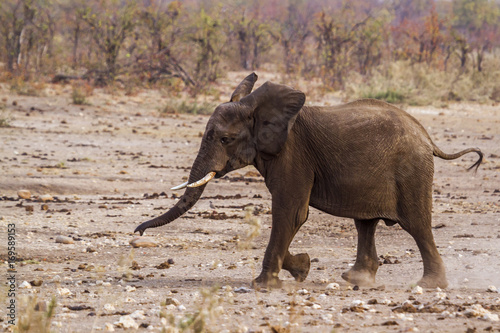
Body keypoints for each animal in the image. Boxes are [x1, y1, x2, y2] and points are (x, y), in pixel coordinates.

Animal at [135, 72, 482, 288]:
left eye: (224, 139)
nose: (137, 231)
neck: (257, 108)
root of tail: (427, 136)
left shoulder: (293, 155)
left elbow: (291, 213)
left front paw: (264, 285)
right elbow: (292, 216)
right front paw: (302, 268)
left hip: (411, 170)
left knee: (417, 224)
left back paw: (428, 284)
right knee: (365, 223)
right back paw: (355, 280)